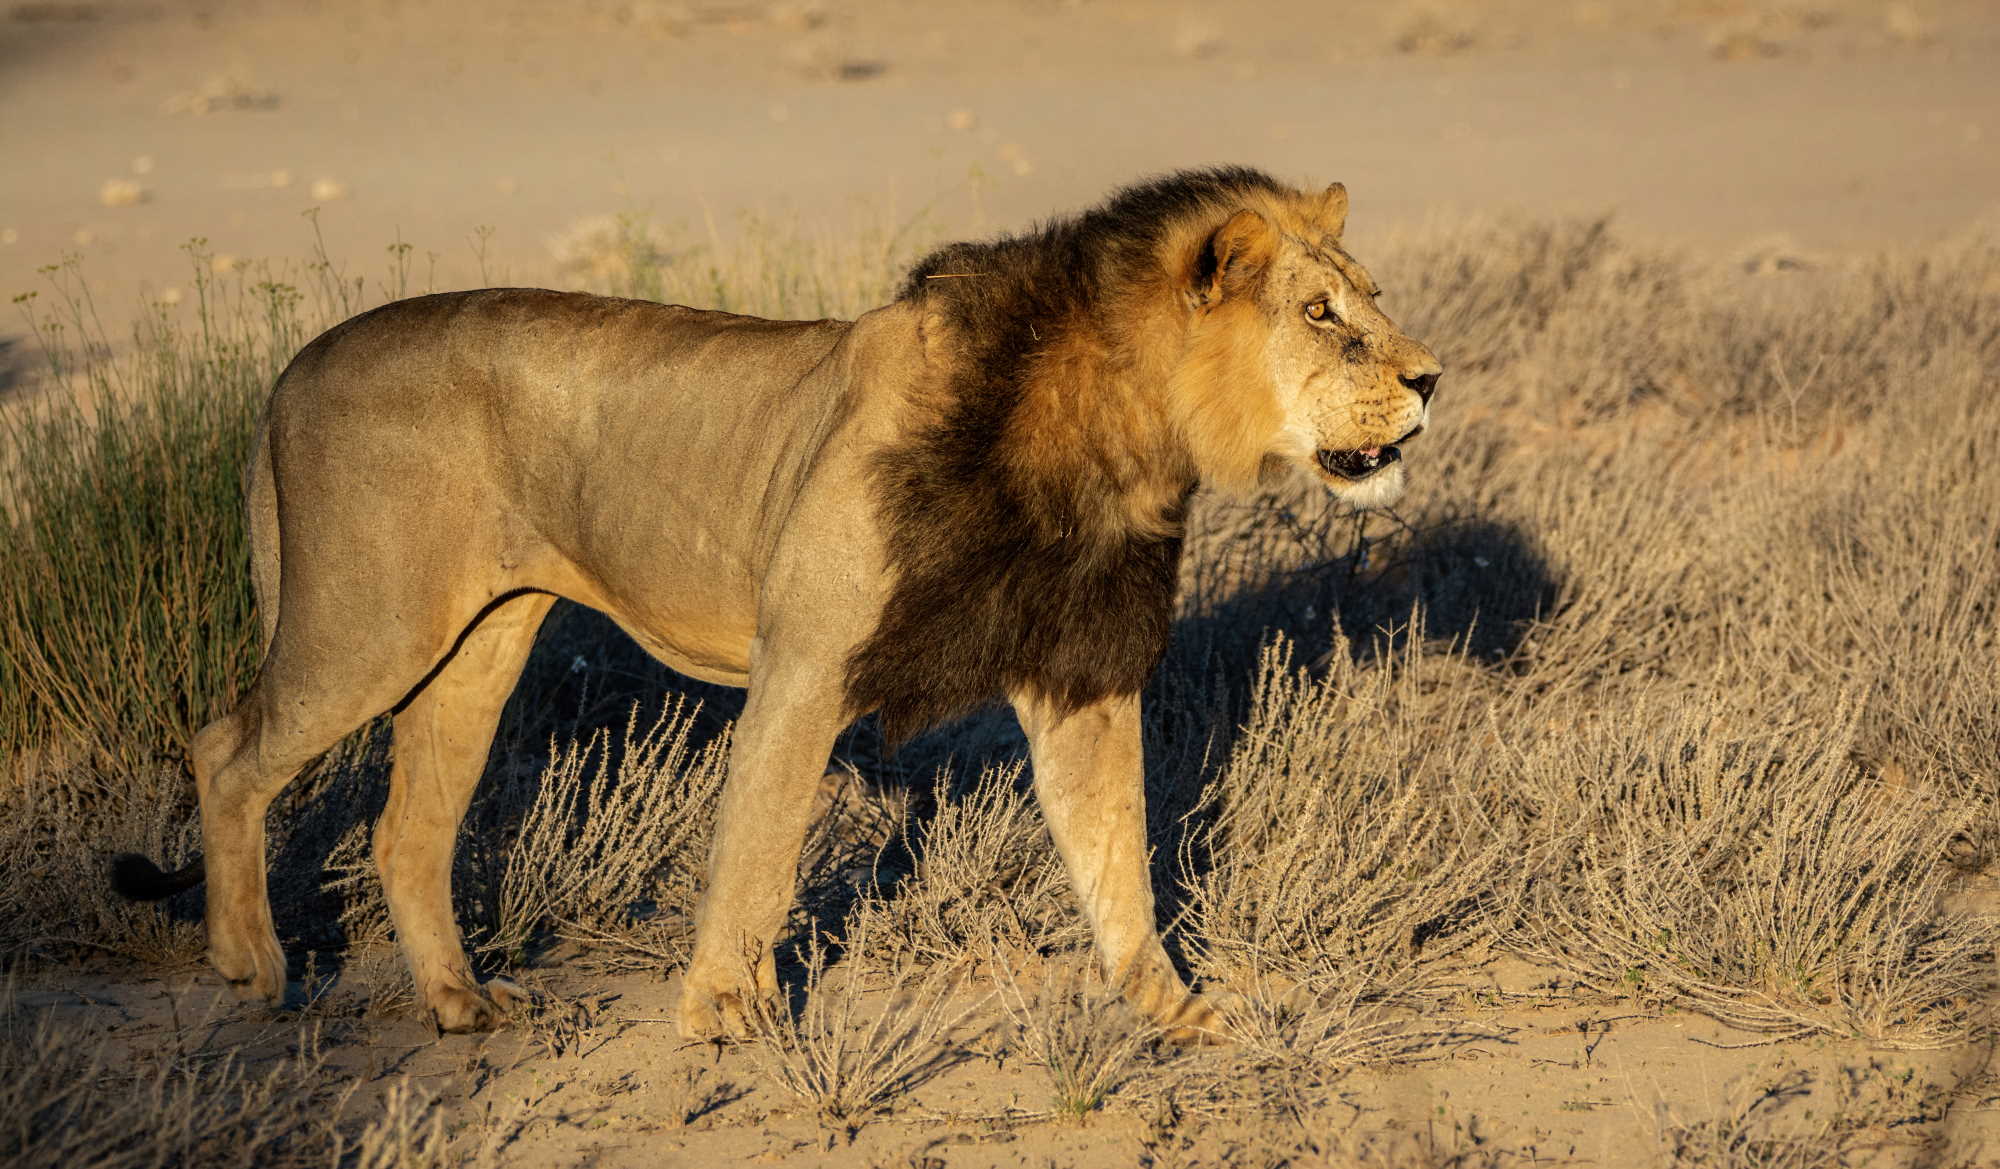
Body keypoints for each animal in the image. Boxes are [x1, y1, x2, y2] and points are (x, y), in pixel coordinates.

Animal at [112, 167, 1441, 1041]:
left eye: (1369, 296)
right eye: (1321, 314)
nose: (1431, 378)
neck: (1119, 438)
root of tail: (294, 364)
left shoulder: (1079, 675)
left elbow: (1117, 854)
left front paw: (1171, 1009)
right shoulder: (805, 662)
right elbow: (754, 850)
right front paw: (719, 1015)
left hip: (480, 641)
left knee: (404, 826)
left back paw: (459, 1000)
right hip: (368, 626)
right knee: (225, 748)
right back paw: (250, 964)